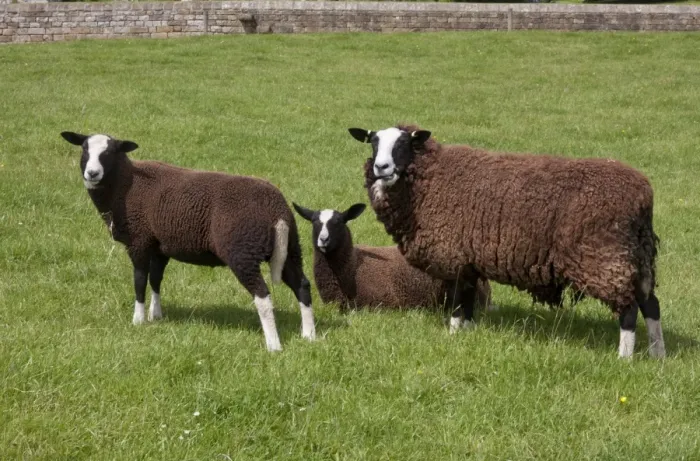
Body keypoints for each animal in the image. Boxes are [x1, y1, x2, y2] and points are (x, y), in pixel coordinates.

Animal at [60, 131, 316, 351]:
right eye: (84, 149)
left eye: (111, 151)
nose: (92, 174)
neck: (125, 185)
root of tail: (277, 210)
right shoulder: (160, 246)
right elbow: (156, 279)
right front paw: (156, 315)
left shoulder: (139, 241)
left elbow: (140, 280)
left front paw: (138, 319)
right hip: (290, 248)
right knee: (302, 285)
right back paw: (309, 335)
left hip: (243, 251)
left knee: (263, 296)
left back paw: (274, 345)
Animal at [348, 124, 665, 358]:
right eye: (372, 142)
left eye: (404, 143)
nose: (381, 167)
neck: (430, 179)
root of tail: (643, 195)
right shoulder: (469, 259)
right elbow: (468, 300)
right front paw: (468, 332)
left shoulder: (455, 256)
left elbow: (457, 300)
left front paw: (453, 333)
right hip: (636, 256)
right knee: (651, 304)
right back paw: (657, 354)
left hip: (604, 258)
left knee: (629, 309)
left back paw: (624, 357)